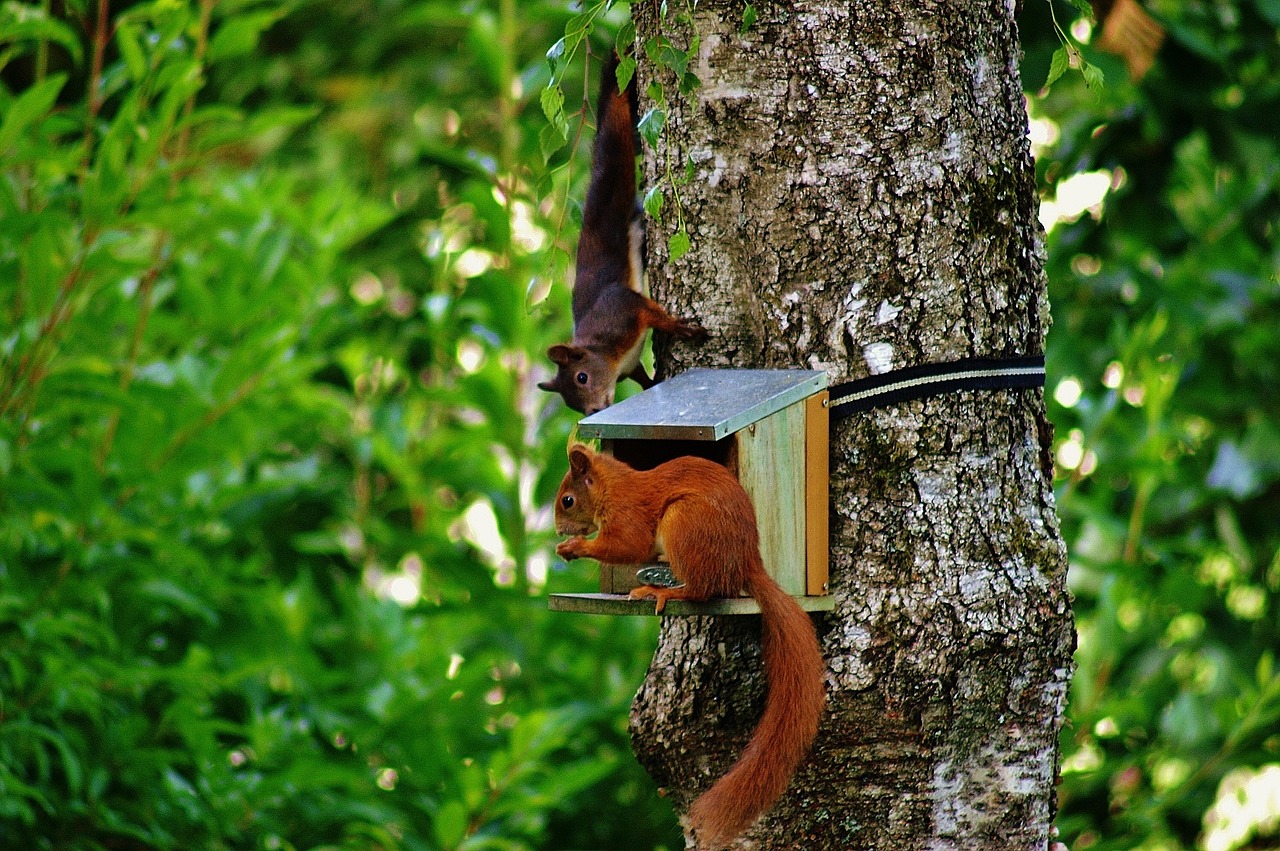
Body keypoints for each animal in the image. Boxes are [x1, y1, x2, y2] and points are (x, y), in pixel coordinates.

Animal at [535, 54, 706, 414]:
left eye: (582, 377)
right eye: (571, 404)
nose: (594, 412)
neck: (609, 356)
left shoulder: (621, 310)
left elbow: (650, 312)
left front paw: (678, 327)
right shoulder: (629, 364)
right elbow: (642, 378)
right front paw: (653, 383)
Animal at [555, 440, 824, 844]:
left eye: (568, 500)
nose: (559, 529)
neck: (613, 488)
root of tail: (747, 563)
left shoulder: (629, 516)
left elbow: (627, 545)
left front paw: (577, 546)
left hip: (684, 521)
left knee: (699, 590)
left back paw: (659, 591)